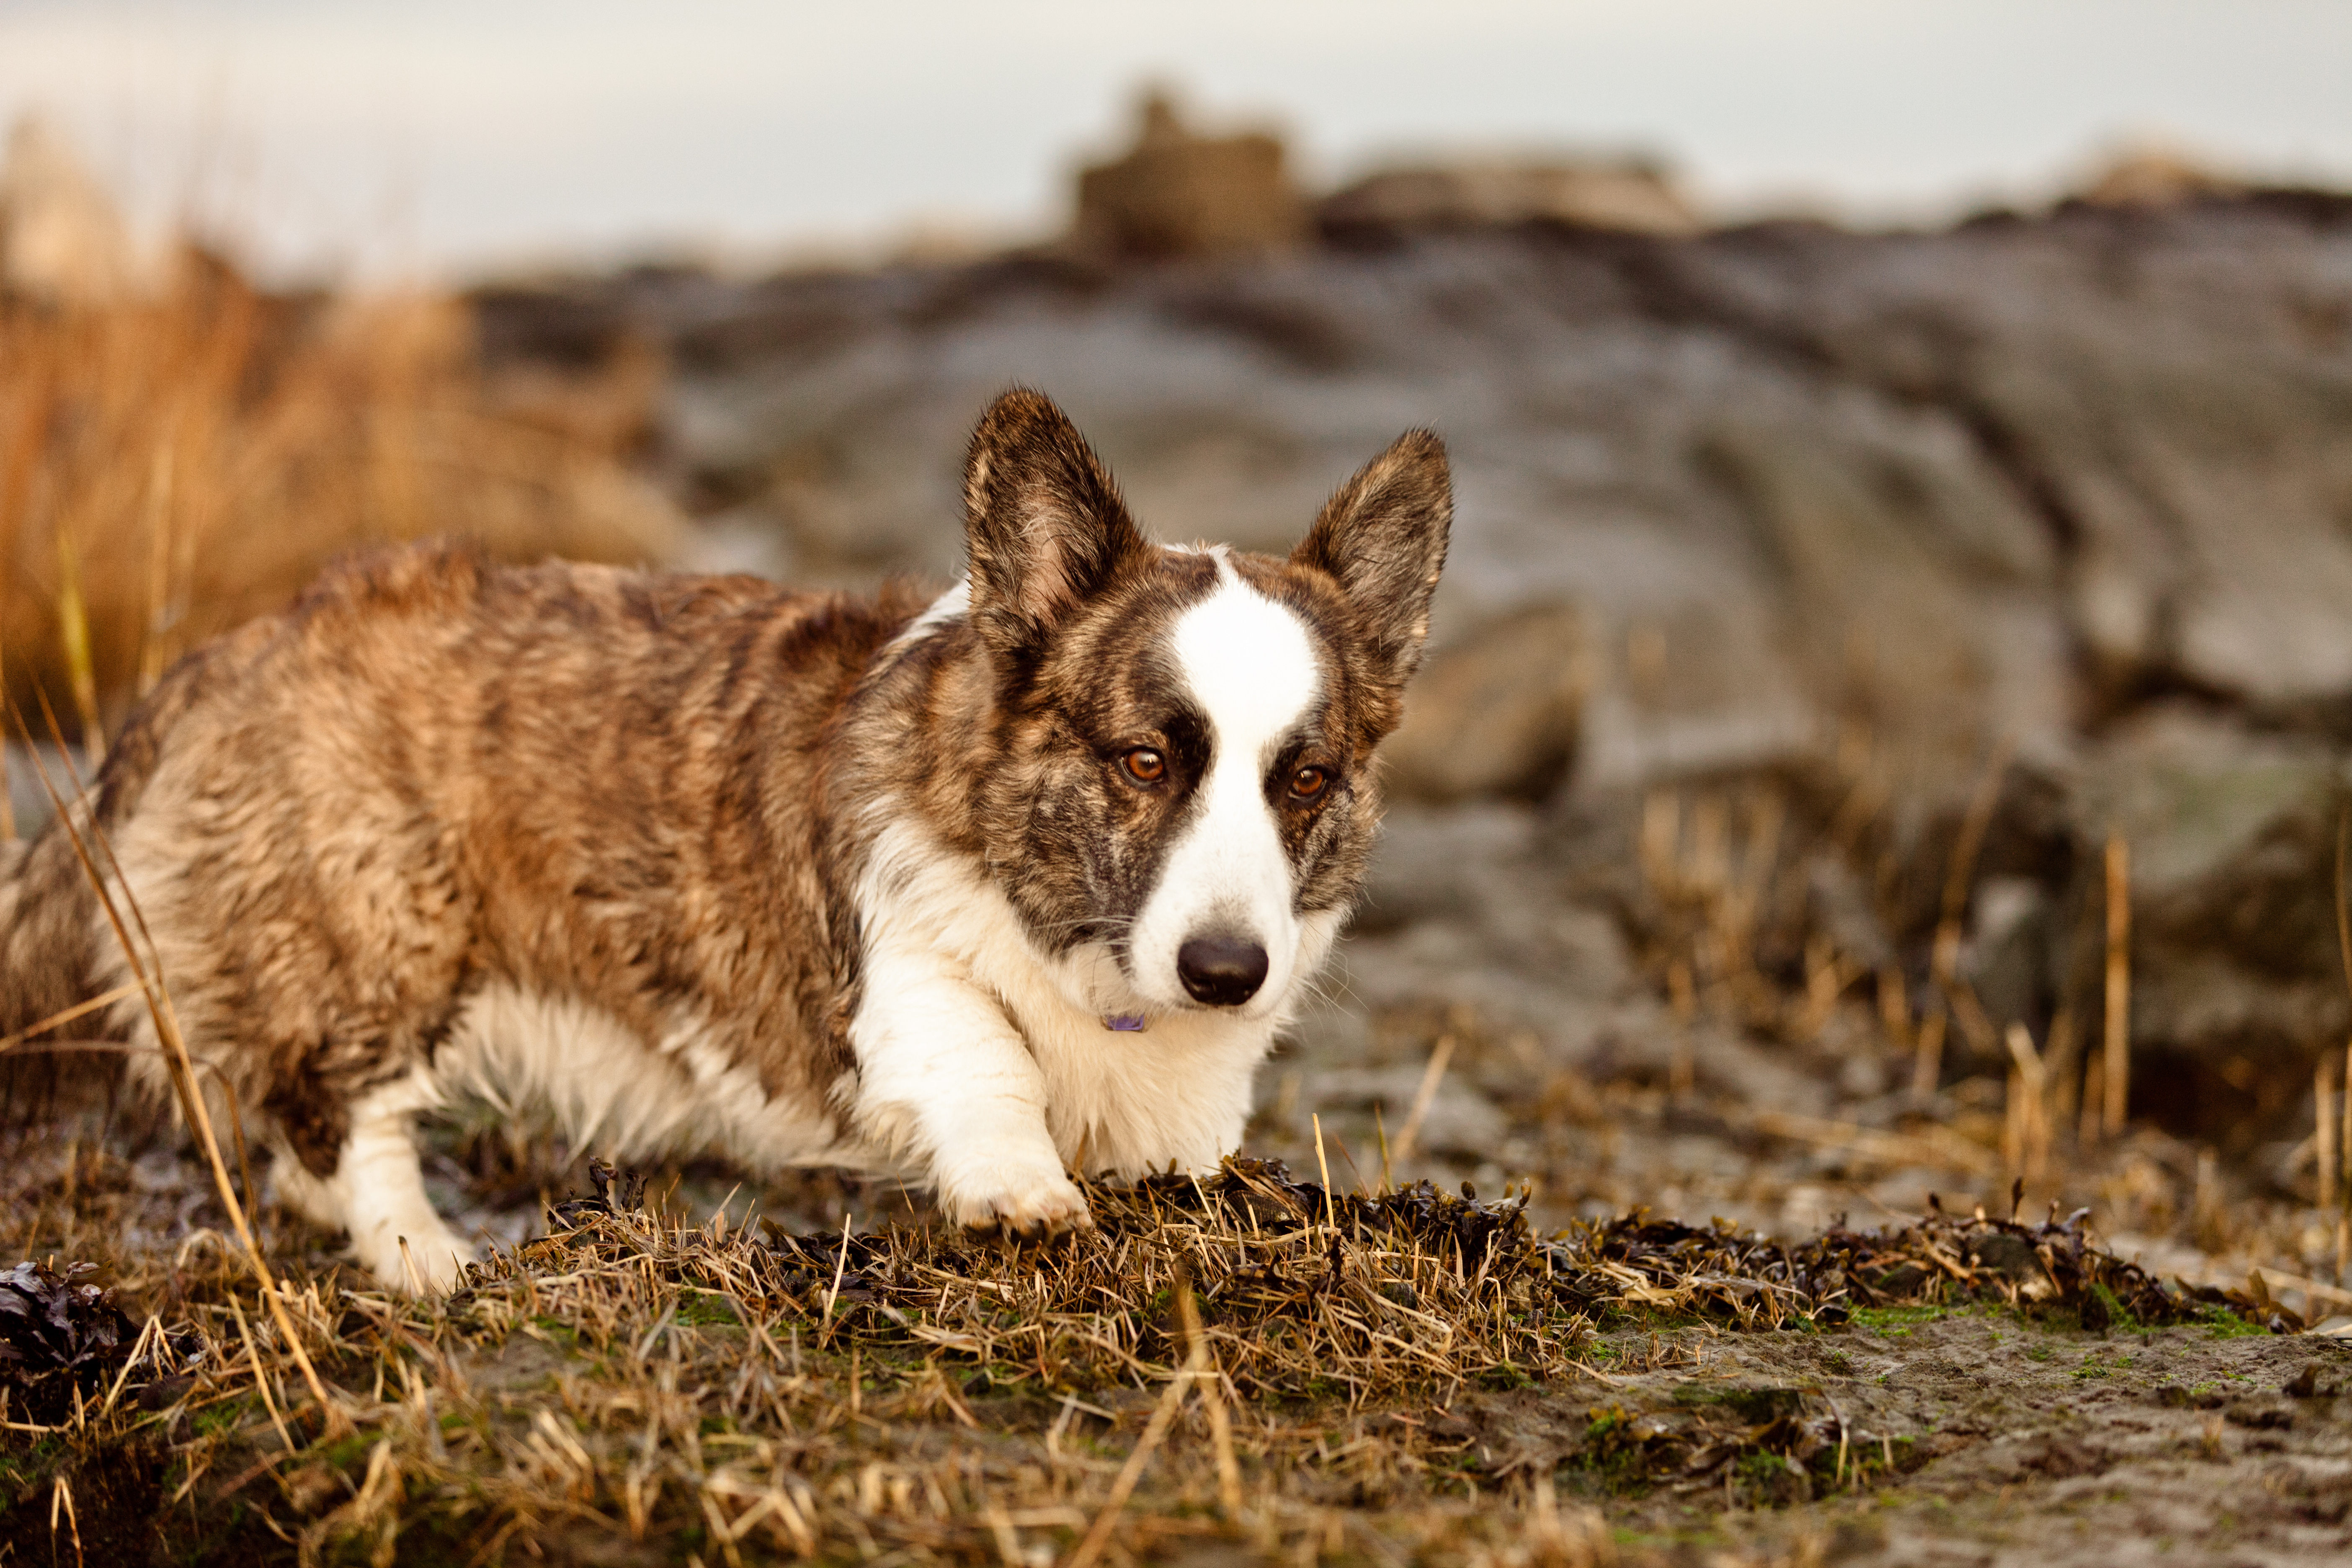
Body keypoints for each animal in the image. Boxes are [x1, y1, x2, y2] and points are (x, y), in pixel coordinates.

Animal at [4, 390, 1449, 1288]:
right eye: (1143, 761)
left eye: (1306, 779)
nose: (1228, 973)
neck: (1077, 942)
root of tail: (220, 658)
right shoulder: (896, 964)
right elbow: (983, 1052)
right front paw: (1022, 1190)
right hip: (384, 928)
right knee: (348, 1112)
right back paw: (426, 1259)